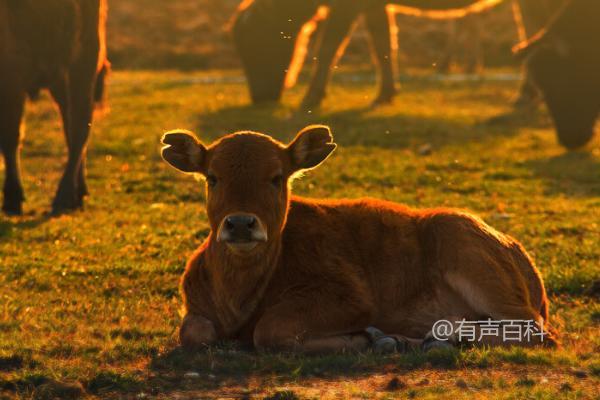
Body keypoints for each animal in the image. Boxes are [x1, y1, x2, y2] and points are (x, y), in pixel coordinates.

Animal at [0, 0, 109, 216]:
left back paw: (66, 196)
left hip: (80, 62)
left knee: (78, 127)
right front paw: (13, 198)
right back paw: (78, 192)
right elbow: (9, 137)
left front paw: (13, 198)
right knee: (71, 125)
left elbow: (11, 135)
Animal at [161, 125, 556, 354]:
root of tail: (523, 259)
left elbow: (269, 330)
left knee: (537, 330)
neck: (240, 299)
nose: (241, 224)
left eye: (277, 177)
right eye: (212, 177)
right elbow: (194, 331)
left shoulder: (351, 297)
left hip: (467, 250)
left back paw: (434, 335)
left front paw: (364, 337)